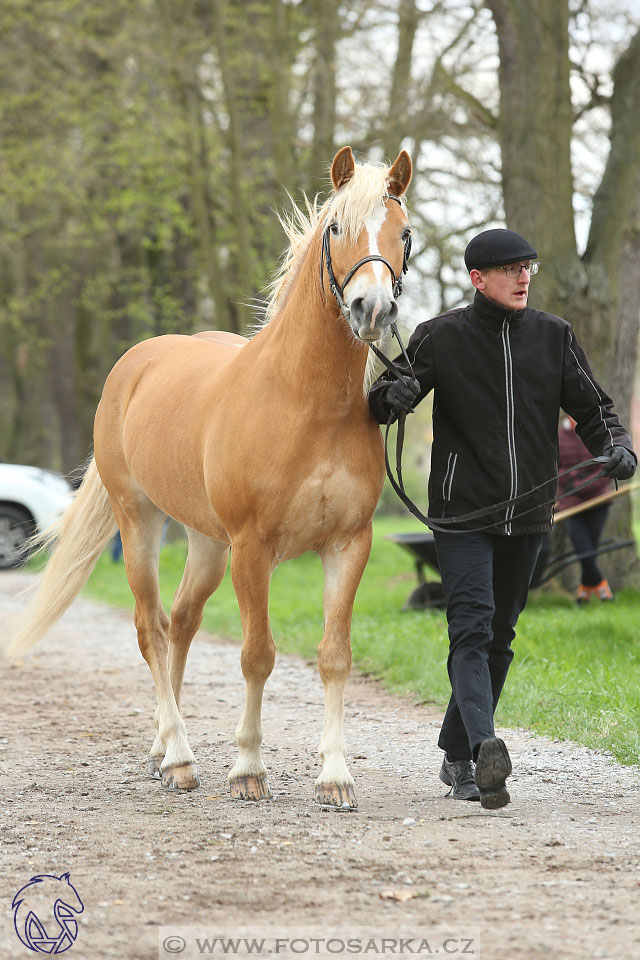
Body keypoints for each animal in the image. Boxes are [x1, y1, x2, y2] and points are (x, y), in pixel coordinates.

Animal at [10, 144, 412, 808]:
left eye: (403, 235)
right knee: (151, 628)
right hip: (140, 522)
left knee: (180, 623)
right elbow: (257, 655)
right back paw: (179, 756)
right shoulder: (253, 547)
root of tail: (138, 363)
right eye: (335, 228)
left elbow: (334, 656)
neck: (307, 403)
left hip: (204, 544)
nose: (372, 309)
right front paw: (247, 768)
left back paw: (159, 749)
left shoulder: (348, 544)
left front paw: (335, 775)